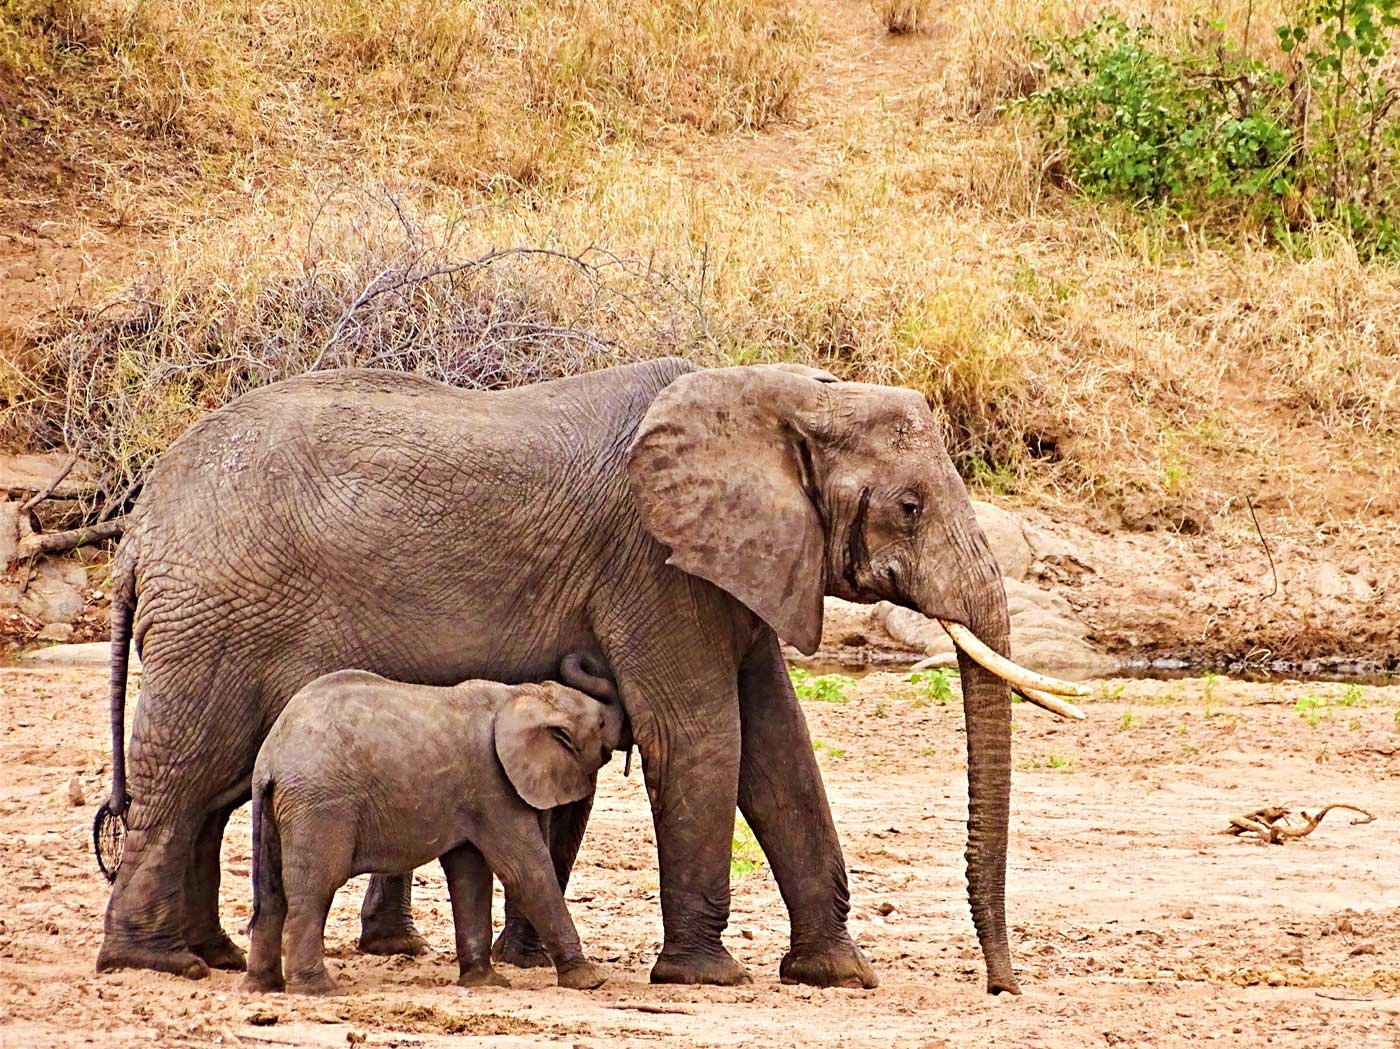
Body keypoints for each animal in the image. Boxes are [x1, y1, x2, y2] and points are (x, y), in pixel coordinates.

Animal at [243, 658, 627, 997]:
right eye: (600, 725)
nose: (583, 658)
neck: (522, 697)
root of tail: (271, 761)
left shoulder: (472, 796)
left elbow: (470, 875)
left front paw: (485, 983)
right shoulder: (492, 783)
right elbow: (525, 871)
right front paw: (591, 981)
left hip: (282, 811)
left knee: (272, 894)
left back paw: (262, 987)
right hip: (320, 806)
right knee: (314, 890)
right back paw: (318, 991)